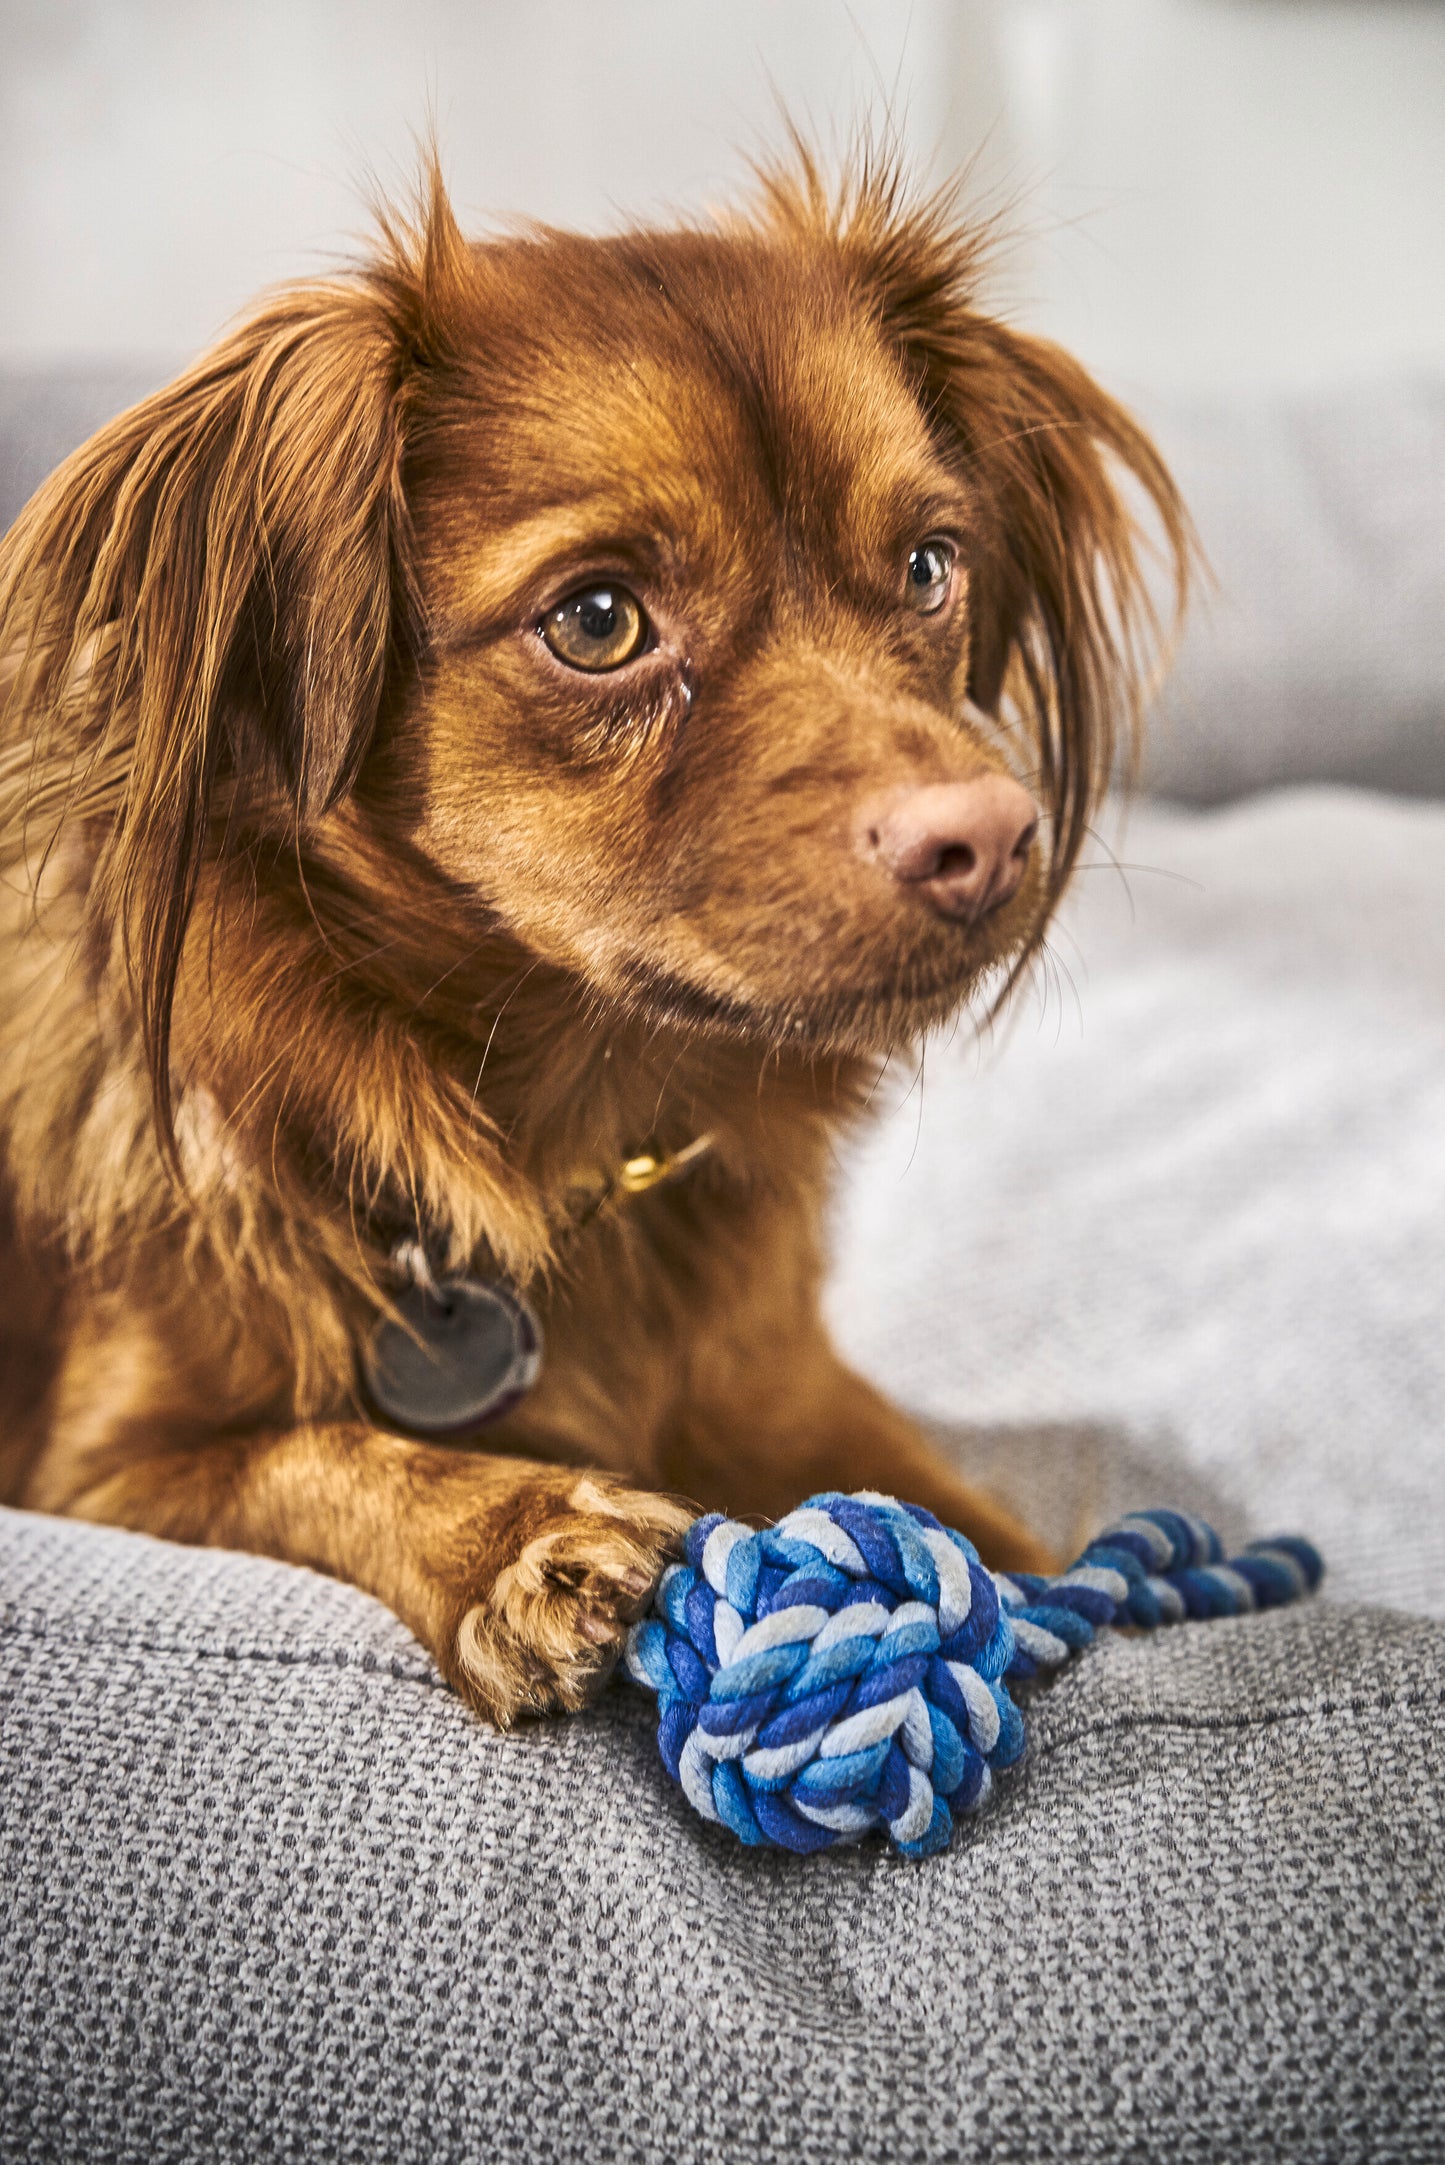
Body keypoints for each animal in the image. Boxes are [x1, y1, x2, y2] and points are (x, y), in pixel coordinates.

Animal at [0, 156, 1187, 1723]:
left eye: (931, 568)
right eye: (600, 618)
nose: (989, 837)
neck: (572, 1118)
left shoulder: (782, 1385)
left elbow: (1011, 1536)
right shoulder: (97, 1462)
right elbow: (302, 1450)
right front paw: (517, 1531)